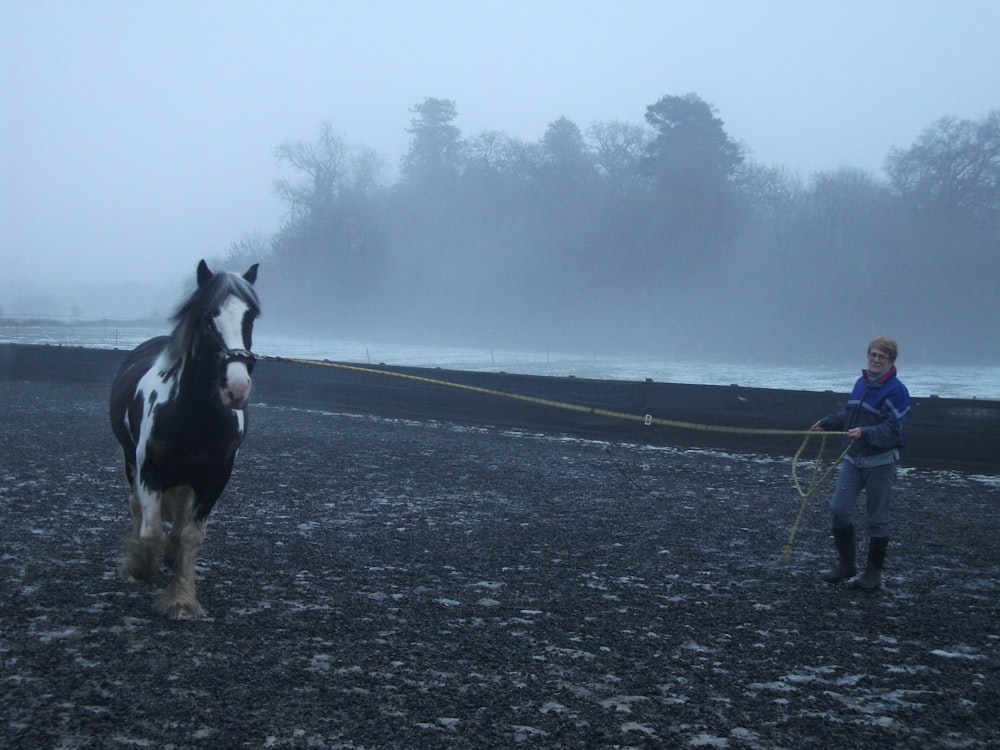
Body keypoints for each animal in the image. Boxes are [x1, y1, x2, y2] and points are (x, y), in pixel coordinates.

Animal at [108, 262, 262, 620]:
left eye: (250, 316)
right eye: (208, 317)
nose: (236, 387)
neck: (194, 415)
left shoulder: (214, 478)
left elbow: (191, 535)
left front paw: (181, 599)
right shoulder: (148, 473)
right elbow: (151, 532)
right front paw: (141, 566)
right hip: (130, 461)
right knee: (136, 507)